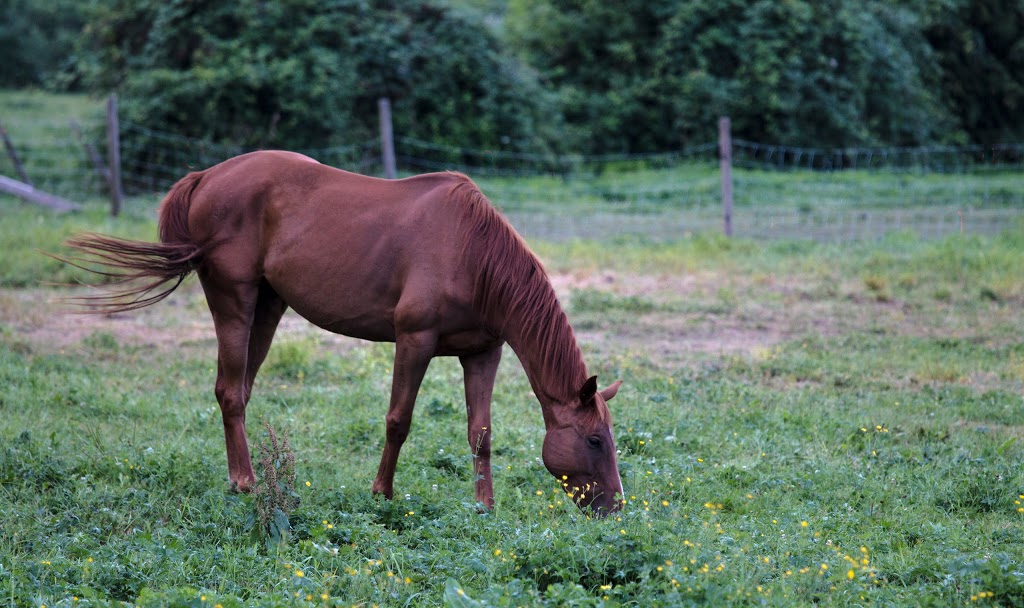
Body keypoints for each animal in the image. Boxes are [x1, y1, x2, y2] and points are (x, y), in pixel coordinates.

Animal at [64, 150, 626, 511]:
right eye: (595, 440)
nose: (615, 507)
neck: (473, 254)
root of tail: (205, 177)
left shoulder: (483, 352)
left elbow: (480, 433)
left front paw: (484, 506)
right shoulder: (414, 341)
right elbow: (399, 420)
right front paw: (382, 494)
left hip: (269, 307)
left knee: (239, 391)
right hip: (234, 301)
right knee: (227, 390)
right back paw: (244, 483)